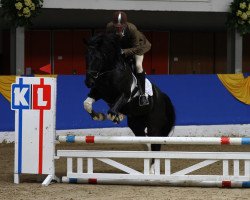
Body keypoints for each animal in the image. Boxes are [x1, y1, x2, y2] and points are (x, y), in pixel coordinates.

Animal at [83, 32, 175, 172]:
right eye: (86, 58)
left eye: (99, 58)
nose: (88, 82)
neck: (110, 72)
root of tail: (163, 97)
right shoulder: (98, 92)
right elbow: (87, 104)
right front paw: (98, 116)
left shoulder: (125, 95)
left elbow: (111, 111)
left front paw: (116, 117)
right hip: (137, 126)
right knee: (147, 145)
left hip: (154, 128)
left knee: (154, 145)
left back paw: (152, 170)